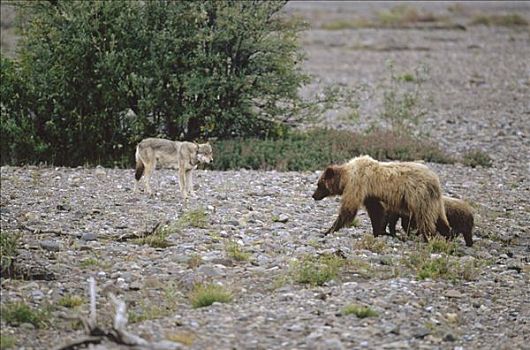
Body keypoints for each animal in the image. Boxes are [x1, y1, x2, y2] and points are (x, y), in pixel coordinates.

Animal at [312, 156, 448, 241]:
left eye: (319, 184)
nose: (313, 195)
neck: (346, 177)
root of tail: (435, 179)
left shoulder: (357, 184)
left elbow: (349, 209)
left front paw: (328, 230)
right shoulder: (369, 193)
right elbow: (375, 211)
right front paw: (378, 231)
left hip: (419, 195)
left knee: (425, 217)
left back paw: (428, 236)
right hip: (433, 200)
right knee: (439, 218)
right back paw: (447, 234)